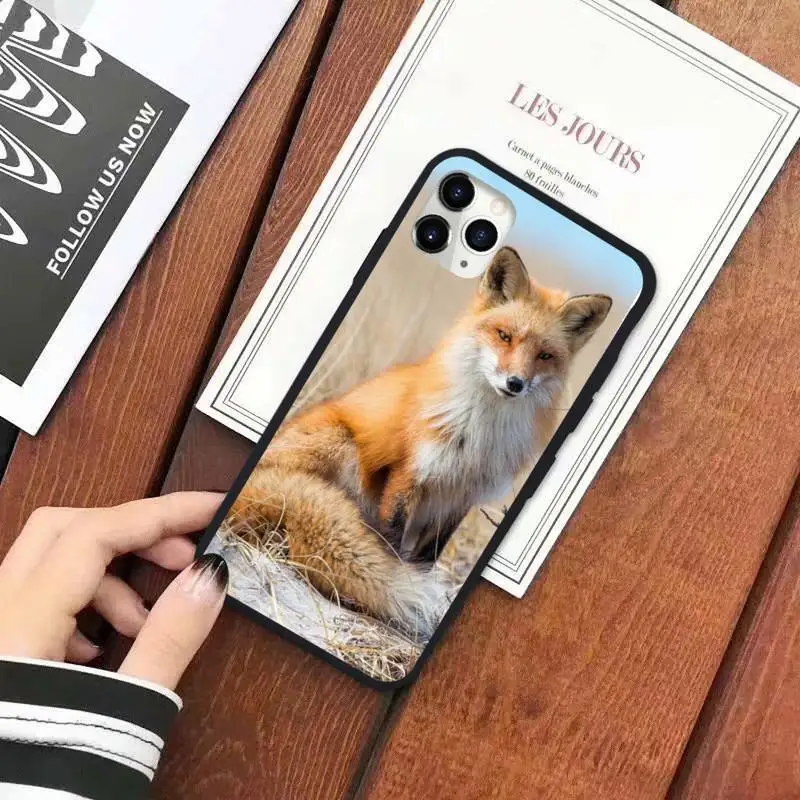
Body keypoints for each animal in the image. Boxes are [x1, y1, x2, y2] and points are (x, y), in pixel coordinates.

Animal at [227, 247, 611, 637]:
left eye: (545, 356)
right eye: (504, 336)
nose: (515, 383)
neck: (478, 434)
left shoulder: (461, 497)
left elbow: (428, 557)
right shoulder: (409, 473)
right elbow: (393, 545)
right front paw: (398, 590)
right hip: (340, 445)